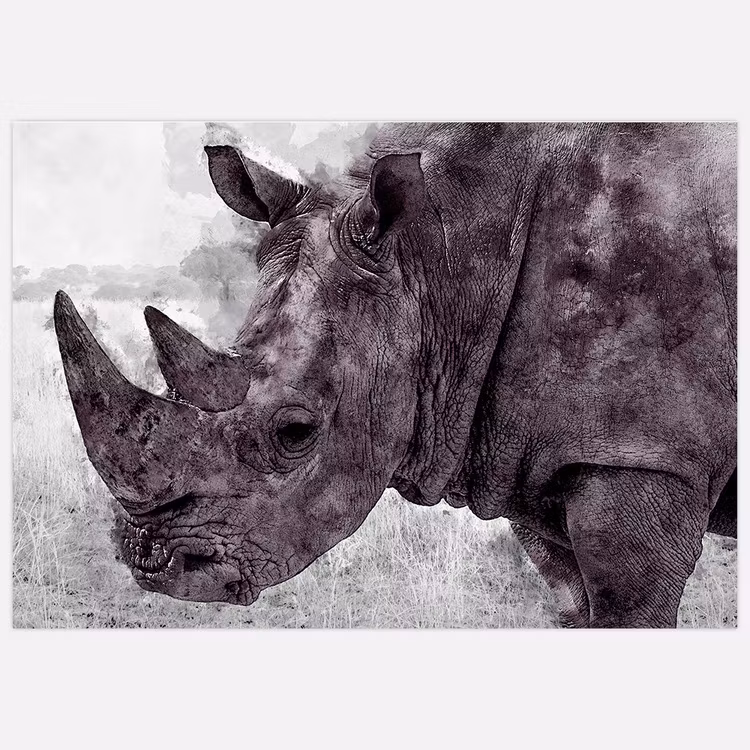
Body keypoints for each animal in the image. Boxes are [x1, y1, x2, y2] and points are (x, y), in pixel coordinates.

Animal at [54, 123, 736, 628]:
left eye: (295, 433)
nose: (151, 561)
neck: (442, 260)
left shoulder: (647, 453)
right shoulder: (537, 454)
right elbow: (575, 603)